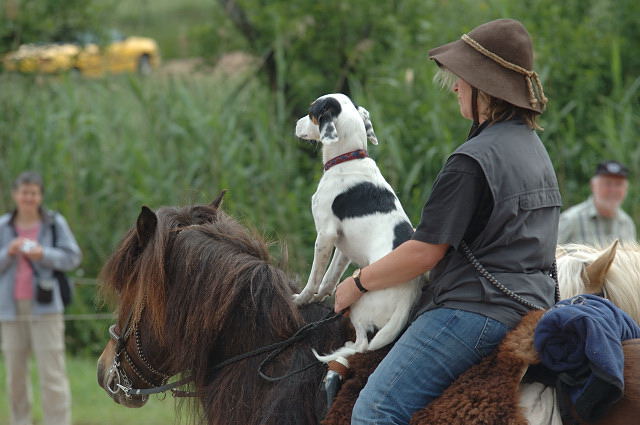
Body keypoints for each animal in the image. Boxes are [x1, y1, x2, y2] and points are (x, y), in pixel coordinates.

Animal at [294, 93, 420, 362]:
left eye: (311, 113)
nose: (296, 124)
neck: (349, 158)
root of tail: (407, 295)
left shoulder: (325, 236)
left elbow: (314, 278)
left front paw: (302, 300)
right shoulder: (342, 247)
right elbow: (329, 279)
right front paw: (322, 298)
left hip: (360, 303)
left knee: (362, 343)